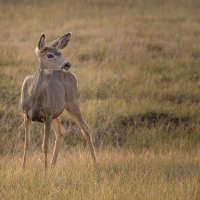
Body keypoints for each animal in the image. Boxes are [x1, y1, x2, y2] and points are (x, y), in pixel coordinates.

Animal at [20, 32, 97, 170]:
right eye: (50, 55)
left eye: (60, 53)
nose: (67, 64)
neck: (34, 96)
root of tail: (73, 75)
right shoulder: (26, 114)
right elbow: (26, 143)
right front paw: (22, 169)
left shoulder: (48, 115)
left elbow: (45, 145)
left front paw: (44, 171)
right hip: (58, 112)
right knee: (61, 131)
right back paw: (52, 165)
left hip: (72, 103)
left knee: (86, 130)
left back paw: (95, 164)